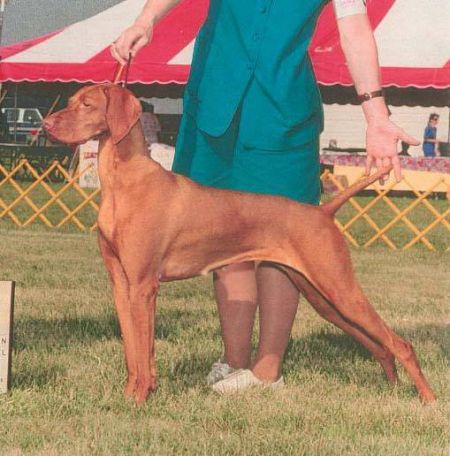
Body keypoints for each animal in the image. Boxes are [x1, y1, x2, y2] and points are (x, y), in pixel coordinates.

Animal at [43, 85, 436, 406]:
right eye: (71, 100)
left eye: (87, 104)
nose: (46, 124)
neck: (124, 182)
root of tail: (323, 210)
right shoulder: (121, 284)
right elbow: (133, 350)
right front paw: (130, 395)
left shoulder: (143, 286)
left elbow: (143, 350)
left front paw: (140, 399)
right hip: (325, 299)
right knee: (381, 346)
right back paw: (393, 387)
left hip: (340, 290)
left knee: (401, 344)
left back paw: (428, 400)